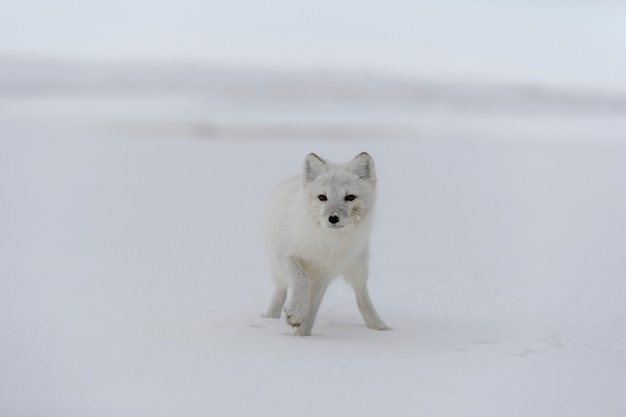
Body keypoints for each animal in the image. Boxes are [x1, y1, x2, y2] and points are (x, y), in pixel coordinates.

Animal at [260, 151, 388, 336]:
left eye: (350, 197)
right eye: (322, 197)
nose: (333, 218)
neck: (325, 241)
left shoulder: (323, 273)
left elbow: (312, 308)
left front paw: (301, 333)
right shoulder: (286, 256)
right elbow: (301, 279)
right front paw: (296, 314)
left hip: (358, 267)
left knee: (361, 294)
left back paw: (378, 324)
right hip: (277, 268)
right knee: (281, 289)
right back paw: (270, 318)